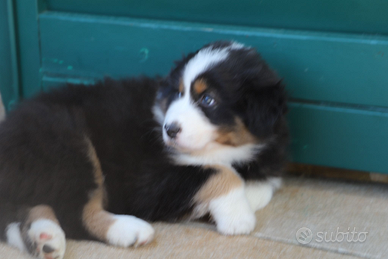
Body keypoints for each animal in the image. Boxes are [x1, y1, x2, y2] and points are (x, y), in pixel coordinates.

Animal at [0, 41, 288, 258]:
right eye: (178, 94)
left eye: (208, 99)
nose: (169, 130)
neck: (224, 146)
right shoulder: (150, 178)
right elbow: (220, 173)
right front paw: (237, 216)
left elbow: (262, 183)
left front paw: (245, 196)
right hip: (69, 141)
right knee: (75, 214)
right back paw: (127, 230)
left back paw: (44, 238)